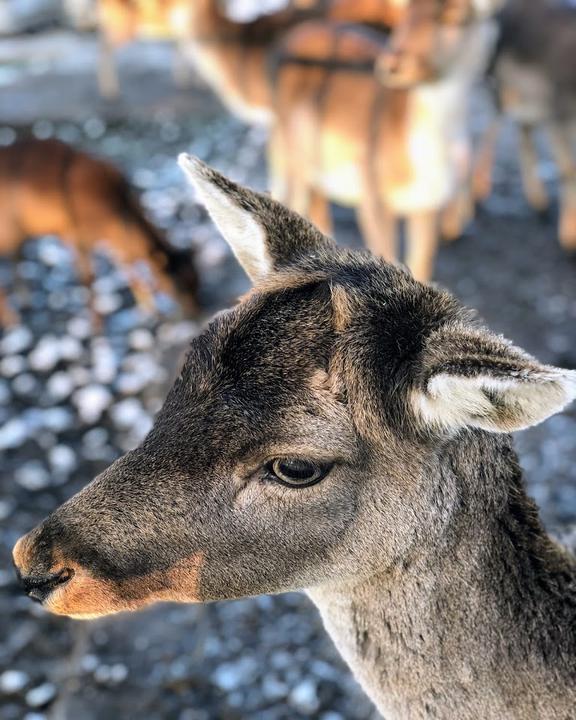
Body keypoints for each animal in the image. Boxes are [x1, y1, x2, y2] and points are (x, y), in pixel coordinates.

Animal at [0, 138, 198, 324]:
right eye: (177, 286)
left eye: (195, 279)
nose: (195, 312)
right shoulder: (77, 236)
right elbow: (90, 279)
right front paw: (97, 326)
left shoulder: (112, 236)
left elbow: (127, 267)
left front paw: (150, 309)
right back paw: (11, 319)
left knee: (16, 256)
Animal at [472, 0, 576, 253]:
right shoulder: (558, 113)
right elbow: (569, 169)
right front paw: (570, 238)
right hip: (503, 86)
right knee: (494, 125)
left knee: (523, 130)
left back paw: (539, 203)